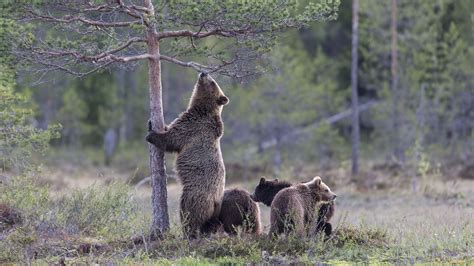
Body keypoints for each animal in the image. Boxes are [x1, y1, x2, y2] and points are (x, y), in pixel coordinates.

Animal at [148, 72, 230, 239]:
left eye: (213, 82)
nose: (203, 72)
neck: (201, 109)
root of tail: (216, 203)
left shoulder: (192, 126)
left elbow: (172, 139)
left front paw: (151, 131)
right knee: (209, 223)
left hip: (195, 193)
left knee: (189, 212)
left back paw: (188, 232)